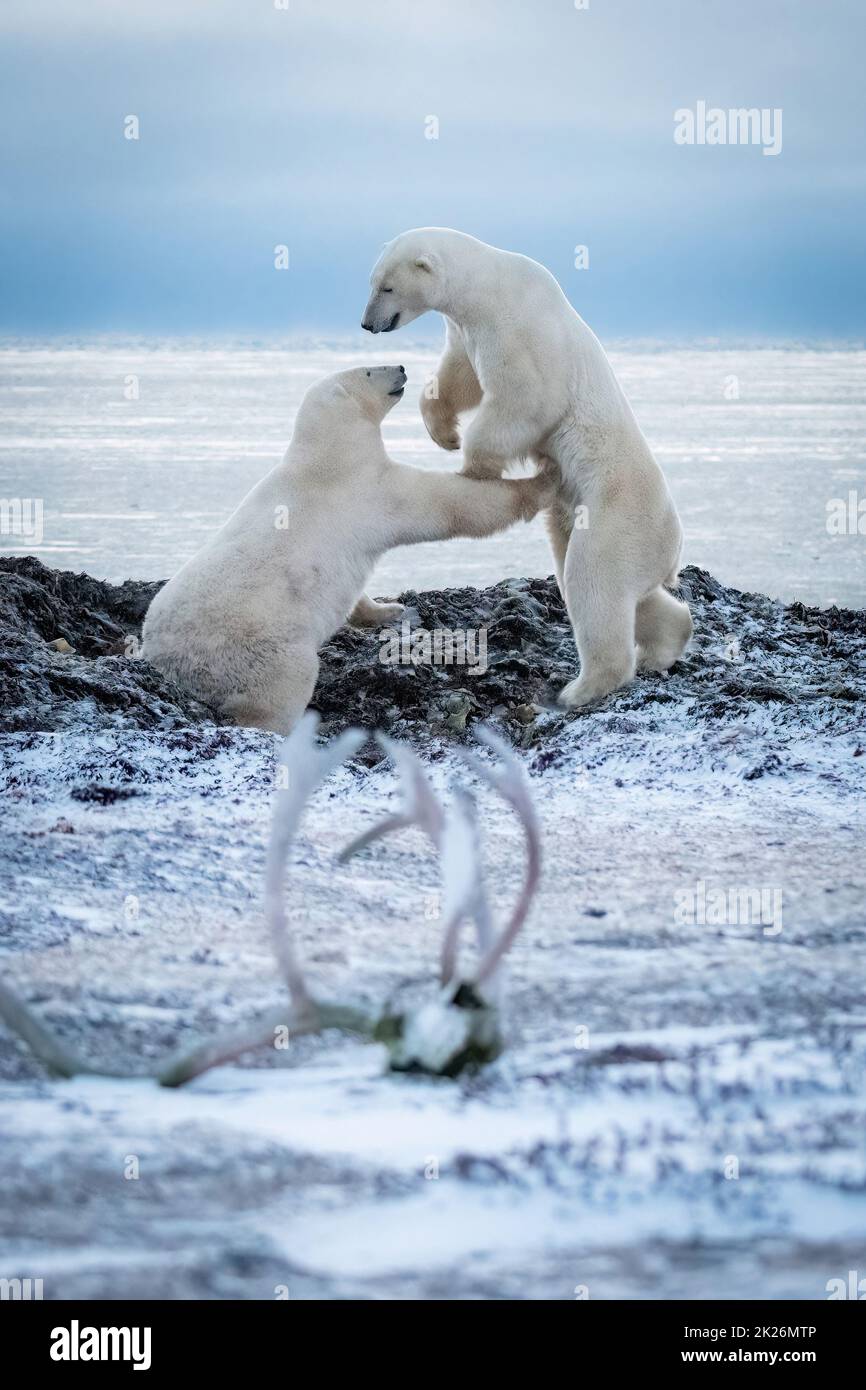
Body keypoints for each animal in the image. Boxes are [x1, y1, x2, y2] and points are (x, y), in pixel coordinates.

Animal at [141, 366, 547, 739]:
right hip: (252, 652)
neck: (327, 453)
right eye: (368, 370)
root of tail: (166, 661)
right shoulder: (369, 487)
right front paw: (538, 484)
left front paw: (390, 609)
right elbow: (451, 503)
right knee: (279, 689)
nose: (401, 367)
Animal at [361, 229, 695, 711]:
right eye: (372, 282)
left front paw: (475, 466)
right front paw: (445, 434)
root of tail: (673, 545)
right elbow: (458, 379)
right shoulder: (466, 332)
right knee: (629, 592)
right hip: (587, 517)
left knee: (594, 579)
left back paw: (581, 688)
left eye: (387, 287)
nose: (368, 324)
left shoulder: (519, 328)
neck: (487, 287)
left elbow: (528, 399)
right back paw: (665, 646)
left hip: (621, 513)